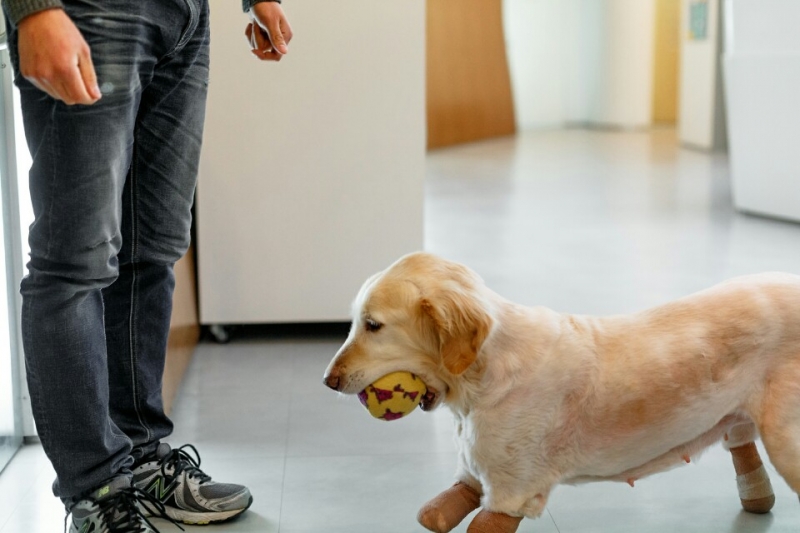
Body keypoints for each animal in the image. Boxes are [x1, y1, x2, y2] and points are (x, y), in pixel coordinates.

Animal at [324, 252, 800, 532]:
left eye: (373, 325)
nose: (328, 381)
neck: (480, 381)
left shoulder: (509, 493)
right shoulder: (474, 474)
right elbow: (438, 509)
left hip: (786, 441)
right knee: (740, 442)